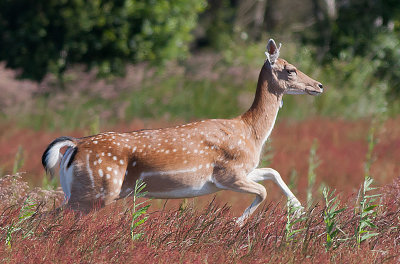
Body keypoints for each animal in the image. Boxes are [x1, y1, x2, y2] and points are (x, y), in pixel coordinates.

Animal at [42, 39, 322, 224]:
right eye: (291, 69)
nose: (319, 85)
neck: (251, 132)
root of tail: (74, 145)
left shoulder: (243, 170)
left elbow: (273, 172)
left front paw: (299, 209)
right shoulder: (227, 173)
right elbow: (263, 191)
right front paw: (237, 223)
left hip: (76, 190)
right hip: (97, 189)